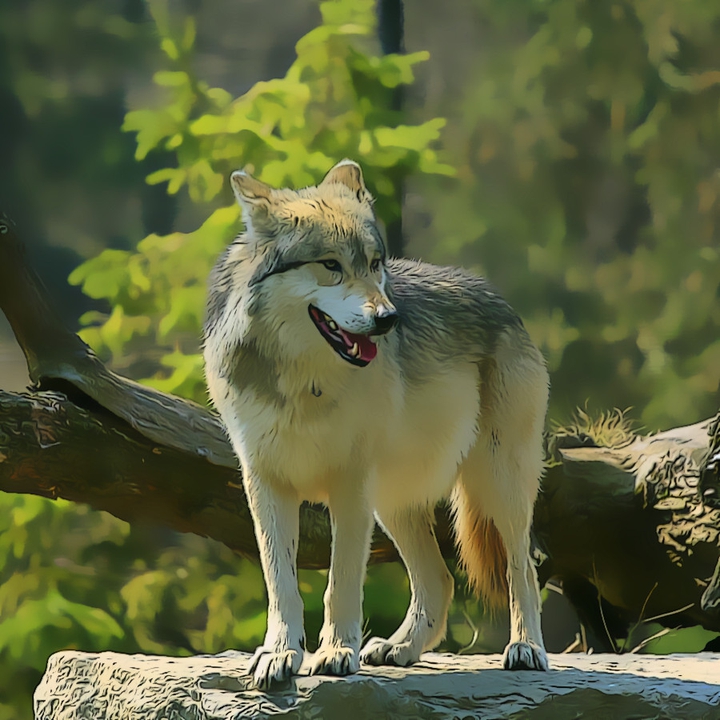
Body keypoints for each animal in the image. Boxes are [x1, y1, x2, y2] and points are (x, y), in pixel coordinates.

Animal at [203, 160, 549, 689]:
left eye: (373, 264)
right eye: (330, 265)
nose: (388, 319)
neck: (305, 383)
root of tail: (498, 298)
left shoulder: (349, 484)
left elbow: (340, 582)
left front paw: (335, 653)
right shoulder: (264, 483)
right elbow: (281, 583)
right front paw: (280, 654)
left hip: (495, 484)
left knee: (521, 569)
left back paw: (526, 648)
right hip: (392, 501)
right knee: (440, 579)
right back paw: (401, 648)